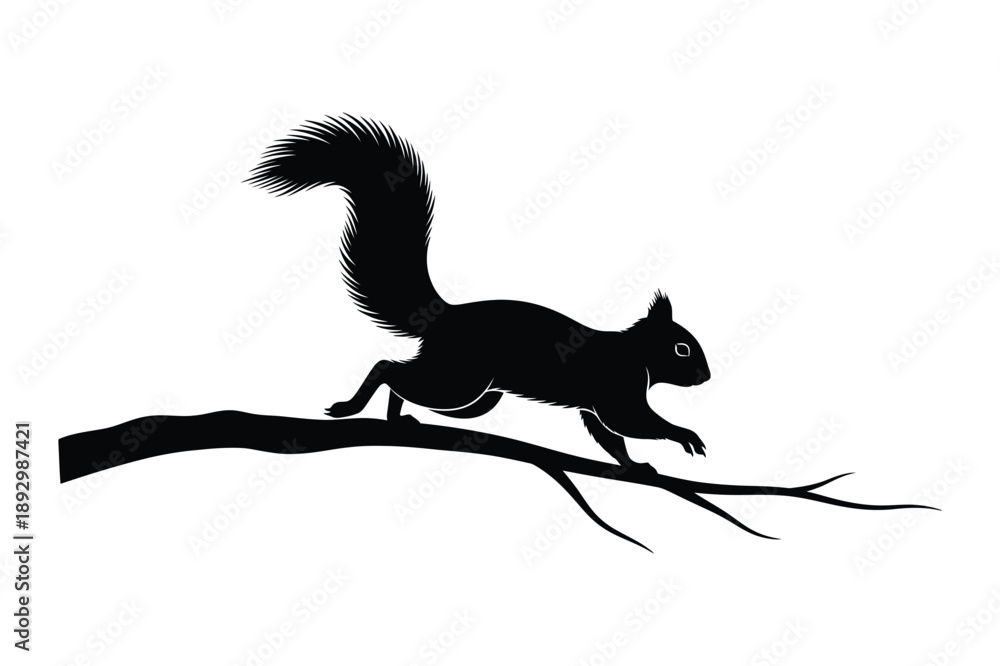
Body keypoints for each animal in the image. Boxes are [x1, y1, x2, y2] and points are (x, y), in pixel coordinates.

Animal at [247, 115, 711, 475]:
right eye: (683, 349)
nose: (705, 377)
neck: (635, 353)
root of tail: (443, 315)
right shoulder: (617, 386)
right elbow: (632, 422)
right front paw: (685, 436)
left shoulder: (595, 403)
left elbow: (611, 436)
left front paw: (635, 466)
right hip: (459, 377)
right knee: (388, 368)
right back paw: (353, 407)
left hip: (476, 393)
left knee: (408, 381)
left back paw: (398, 419)